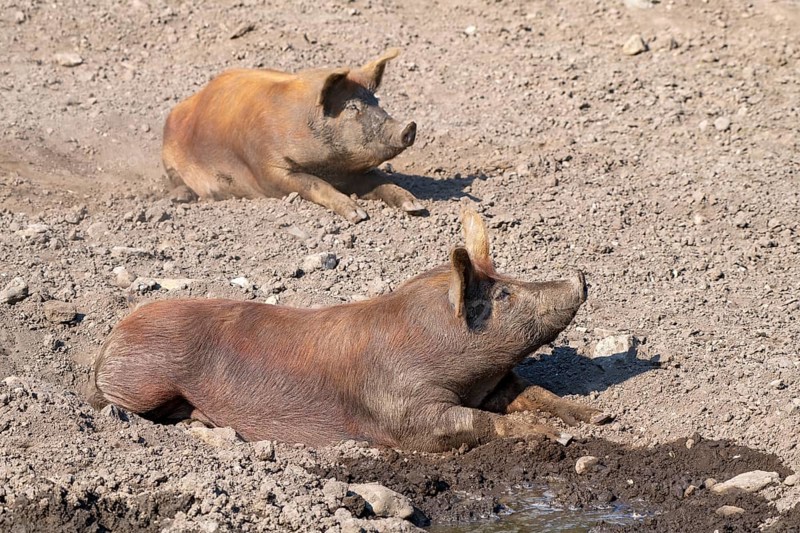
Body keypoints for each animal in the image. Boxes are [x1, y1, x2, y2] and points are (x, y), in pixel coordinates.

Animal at [89, 208, 607, 452]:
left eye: (508, 279)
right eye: (502, 296)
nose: (581, 275)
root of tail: (110, 340)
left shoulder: (493, 383)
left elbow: (534, 391)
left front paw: (597, 418)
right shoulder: (400, 408)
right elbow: (472, 423)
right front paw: (557, 437)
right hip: (144, 379)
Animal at [161, 48, 422, 223]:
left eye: (376, 101)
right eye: (352, 107)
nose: (409, 126)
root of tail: (176, 111)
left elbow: (381, 180)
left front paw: (415, 206)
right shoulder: (268, 169)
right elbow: (314, 184)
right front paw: (357, 215)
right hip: (170, 161)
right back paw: (181, 198)